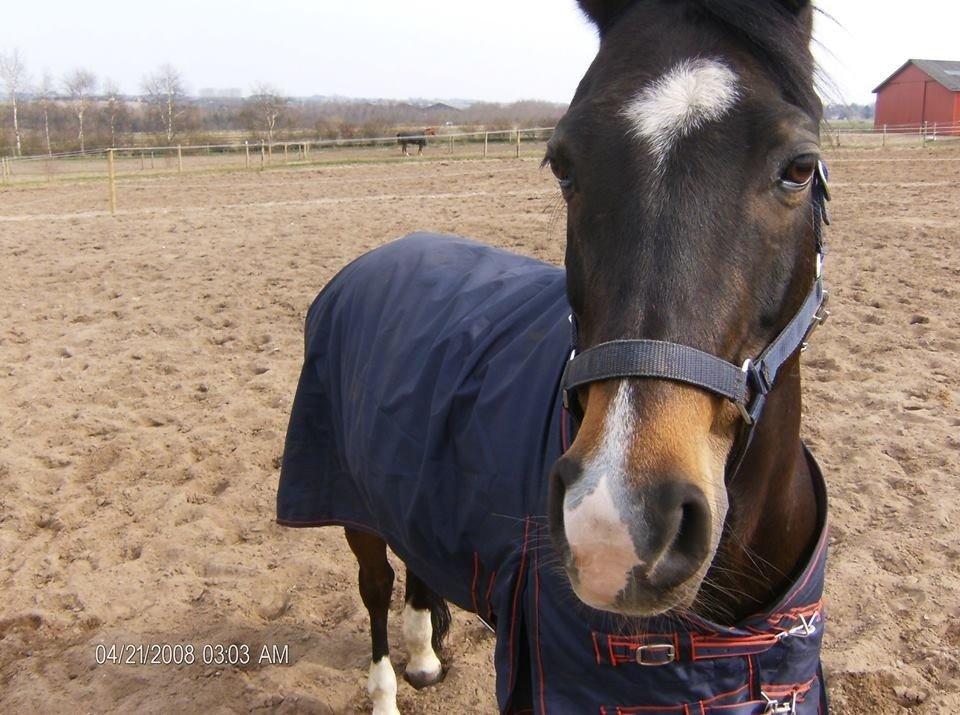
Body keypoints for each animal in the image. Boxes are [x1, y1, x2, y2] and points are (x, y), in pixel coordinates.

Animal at [278, 1, 832, 715]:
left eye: (800, 166)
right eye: (563, 164)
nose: (614, 525)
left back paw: (425, 657)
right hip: (352, 503)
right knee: (375, 587)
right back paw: (385, 691)